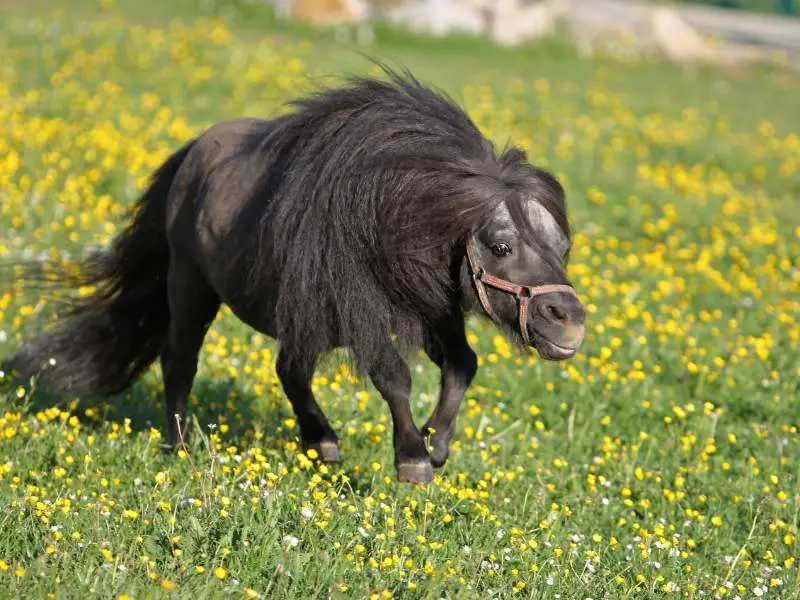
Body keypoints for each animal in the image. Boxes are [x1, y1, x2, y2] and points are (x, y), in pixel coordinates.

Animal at [4, 68, 580, 486]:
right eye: (501, 246)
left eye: (562, 246)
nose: (569, 322)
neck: (386, 213)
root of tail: (193, 153)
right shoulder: (363, 310)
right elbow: (394, 376)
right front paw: (413, 458)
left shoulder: (434, 306)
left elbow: (462, 365)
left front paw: (437, 441)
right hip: (193, 289)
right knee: (180, 359)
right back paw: (183, 446)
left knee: (288, 370)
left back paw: (320, 441)